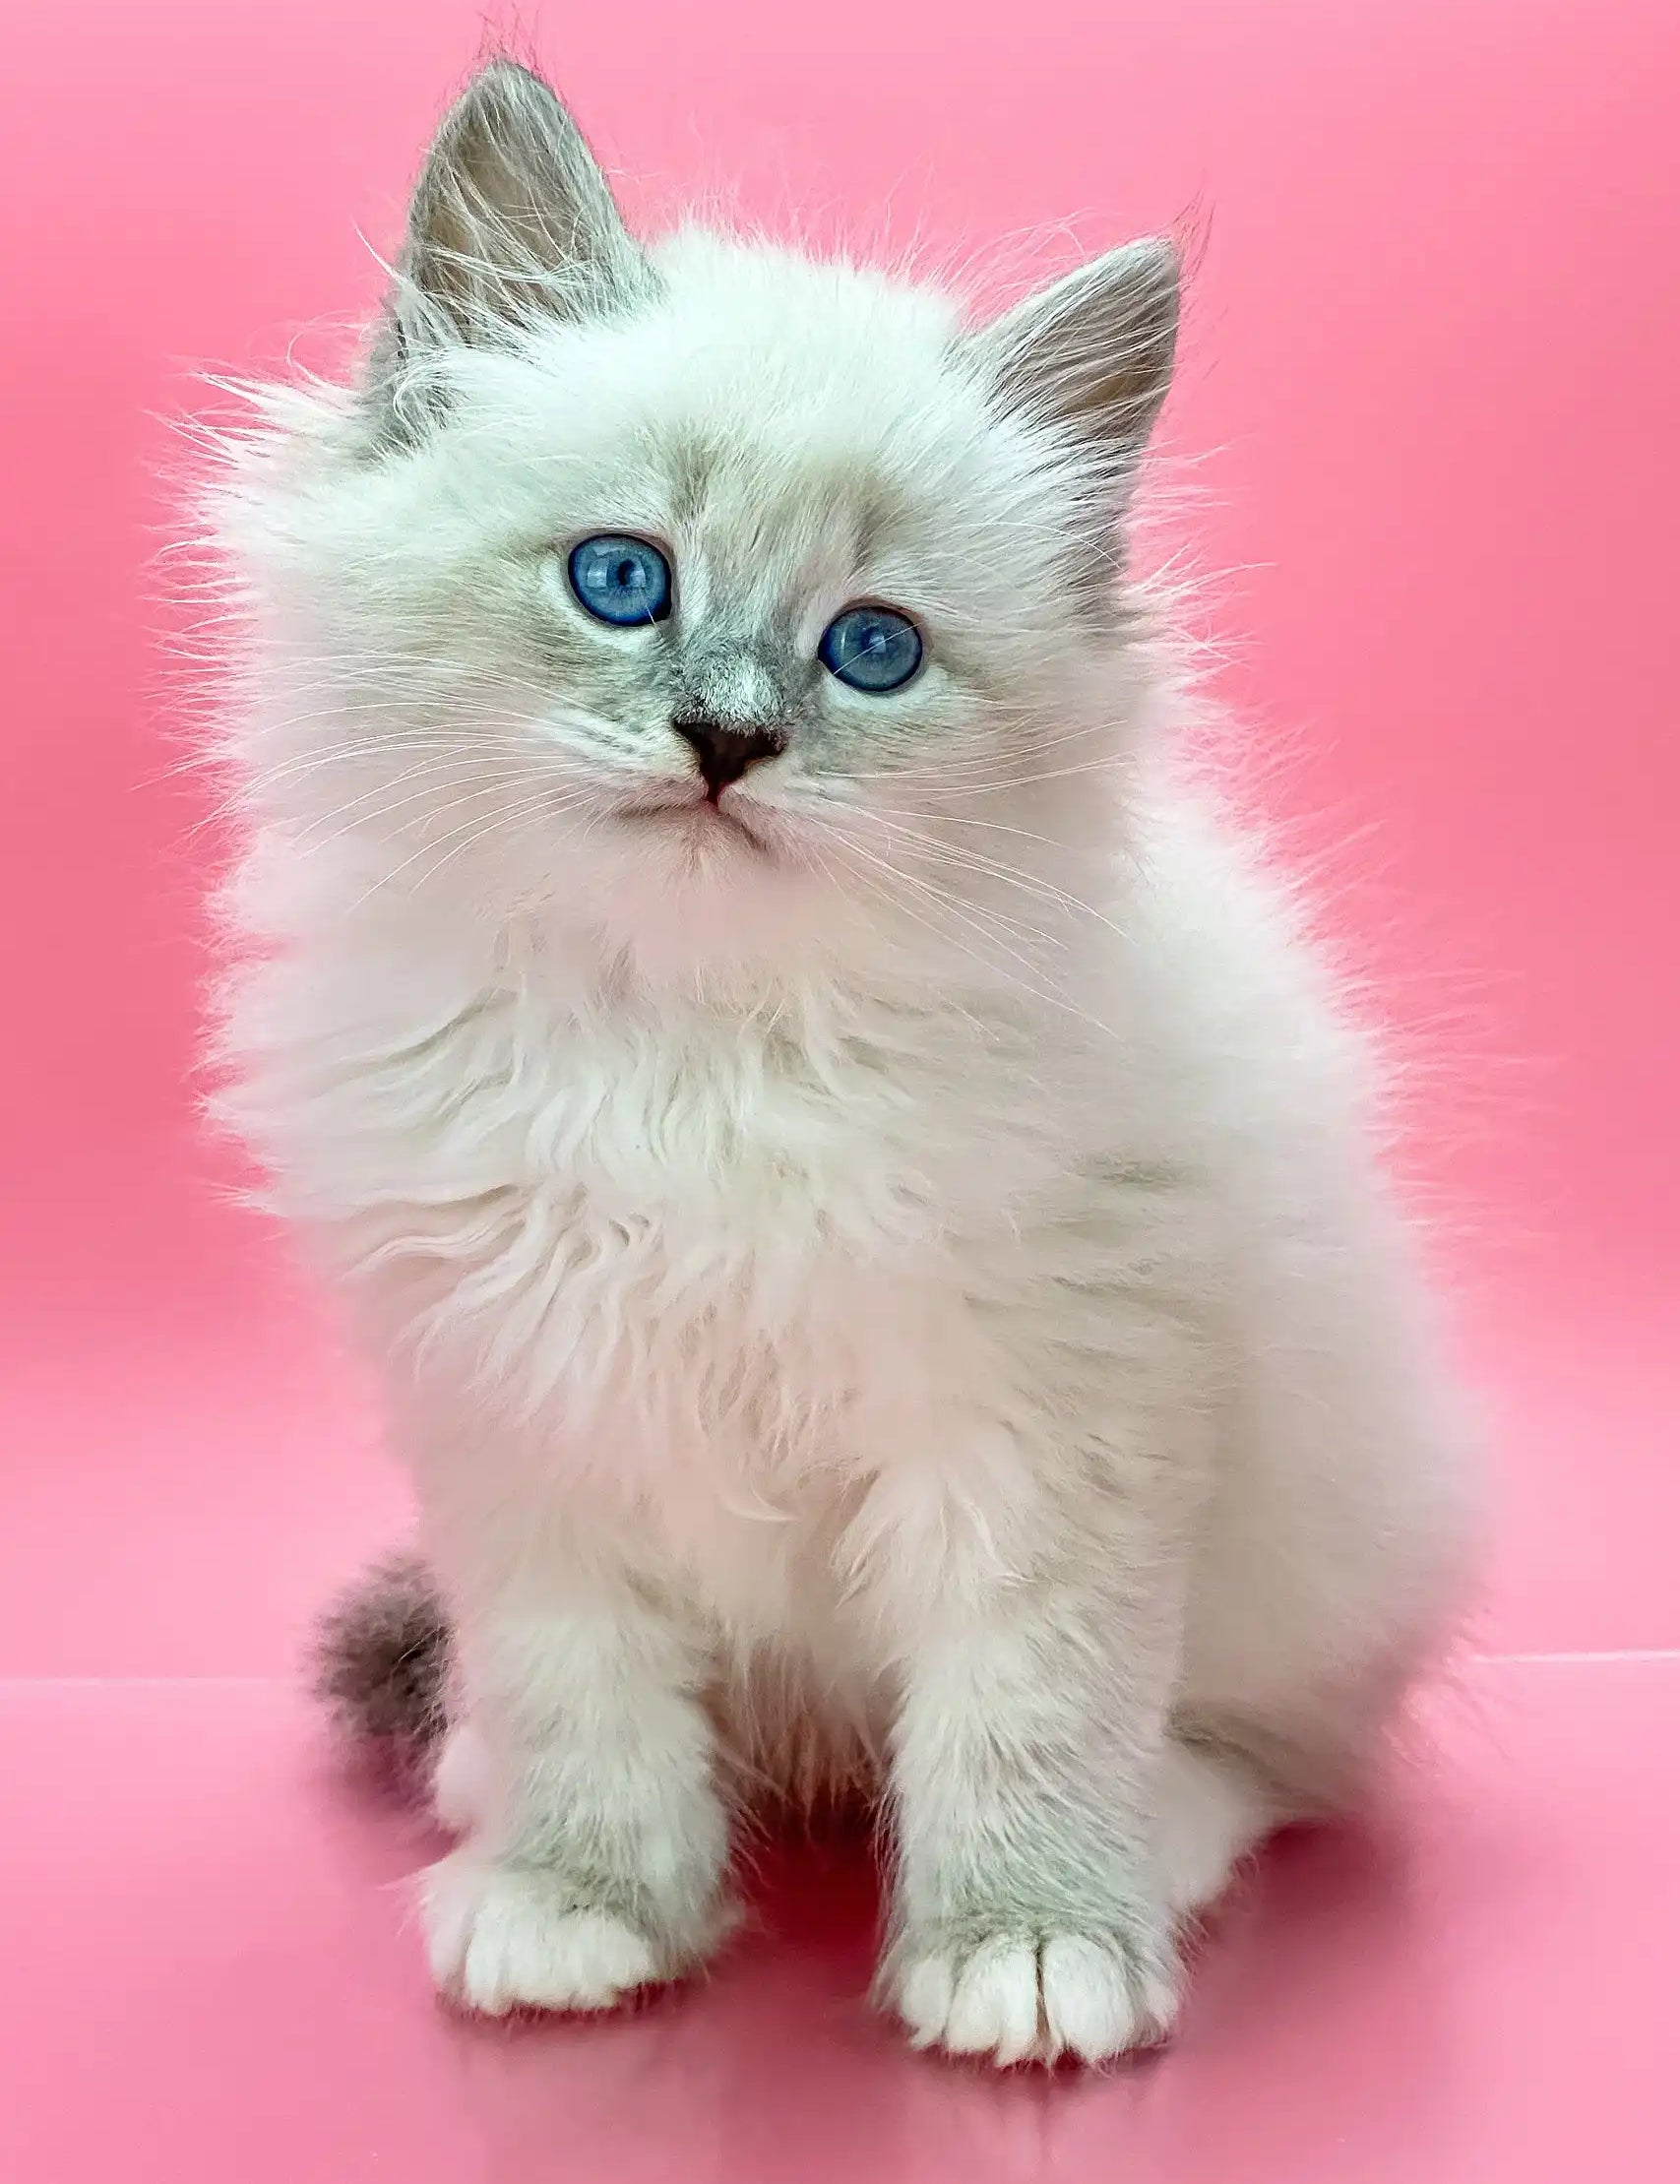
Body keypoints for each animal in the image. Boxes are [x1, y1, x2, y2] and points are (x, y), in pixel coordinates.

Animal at [203, 55, 1476, 2061]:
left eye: (869, 649)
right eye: (621, 579)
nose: (728, 738)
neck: (689, 1044)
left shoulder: (1043, 1422)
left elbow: (1026, 1707)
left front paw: (1026, 1946)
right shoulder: (527, 1421)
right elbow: (584, 1704)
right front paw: (581, 1900)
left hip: (1322, 1539)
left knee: (1273, 1752)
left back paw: (1157, 1842)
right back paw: (484, 1788)